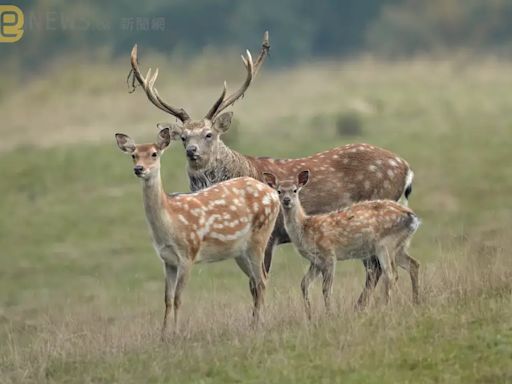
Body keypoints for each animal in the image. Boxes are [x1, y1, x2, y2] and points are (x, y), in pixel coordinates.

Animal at [115, 127, 280, 336]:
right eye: (134, 155)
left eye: (154, 154)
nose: (139, 169)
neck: (170, 222)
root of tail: (274, 194)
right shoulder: (167, 260)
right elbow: (167, 299)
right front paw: (163, 334)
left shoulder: (188, 253)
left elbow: (178, 298)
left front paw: (176, 333)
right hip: (240, 251)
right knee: (256, 282)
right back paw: (254, 324)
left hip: (260, 236)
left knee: (261, 281)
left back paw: (260, 325)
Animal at [262, 170, 422, 318]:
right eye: (279, 191)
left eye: (295, 190)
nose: (286, 200)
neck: (306, 228)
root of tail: (413, 218)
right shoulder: (315, 260)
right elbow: (304, 284)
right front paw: (309, 315)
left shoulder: (329, 254)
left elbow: (326, 288)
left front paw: (329, 314)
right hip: (399, 245)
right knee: (413, 264)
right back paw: (415, 302)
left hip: (385, 244)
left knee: (391, 274)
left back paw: (385, 308)